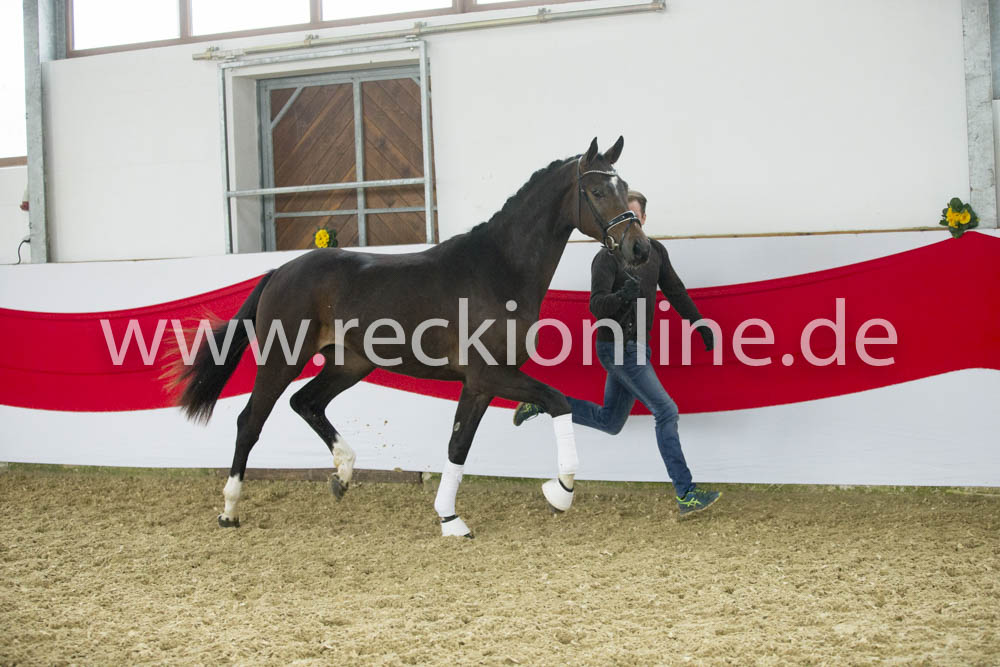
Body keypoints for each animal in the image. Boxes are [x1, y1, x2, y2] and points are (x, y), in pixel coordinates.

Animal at [176, 137, 651, 537]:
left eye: (624, 185)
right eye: (597, 191)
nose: (639, 250)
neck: (498, 270)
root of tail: (279, 271)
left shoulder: (480, 384)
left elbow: (461, 443)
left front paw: (451, 517)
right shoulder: (489, 375)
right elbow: (553, 403)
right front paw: (559, 492)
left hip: (350, 363)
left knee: (305, 402)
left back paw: (343, 473)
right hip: (281, 359)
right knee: (250, 421)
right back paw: (229, 510)